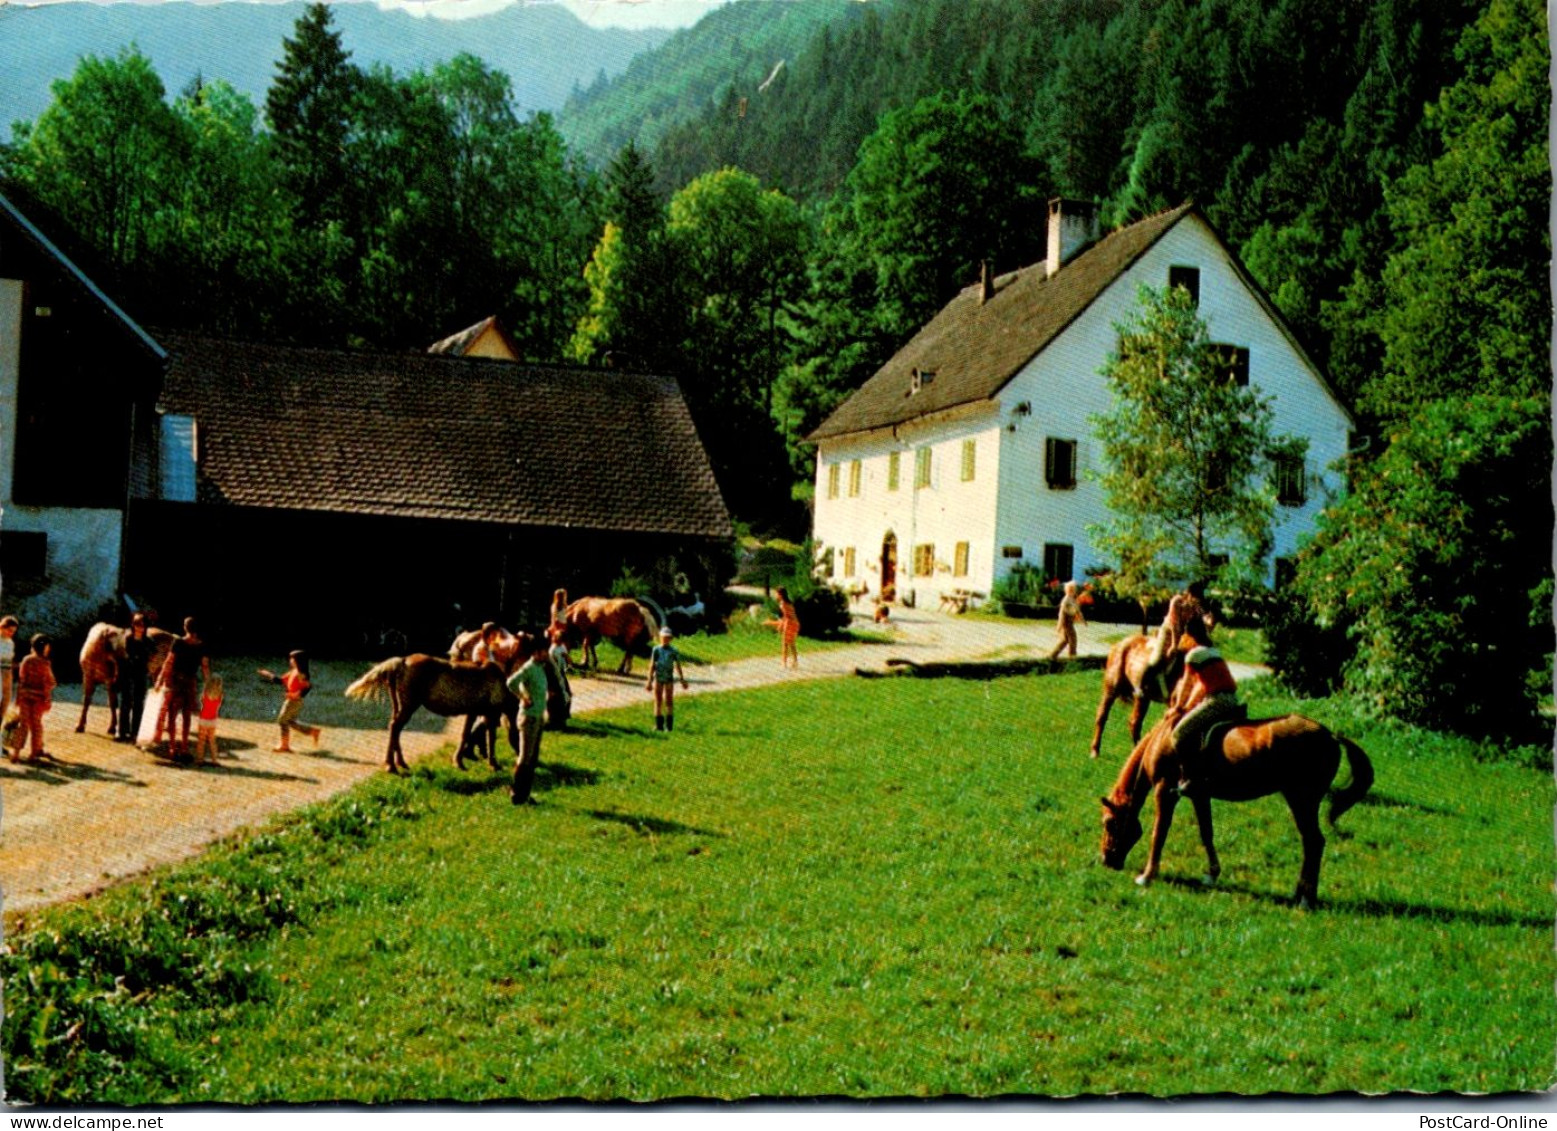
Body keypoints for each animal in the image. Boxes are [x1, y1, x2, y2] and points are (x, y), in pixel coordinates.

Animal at [344, 654, 520, 778]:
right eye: (520, 734)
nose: (520, 756)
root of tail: (402, 661)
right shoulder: (489, 713)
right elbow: (490, 737)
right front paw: (493, 764)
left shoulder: (474, 712)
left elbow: (466, 734)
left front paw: (459, 762)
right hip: (409, 705)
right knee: (395, 727)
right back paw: (391, 766)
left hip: (399, 705)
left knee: (395, 729)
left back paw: (400, 763)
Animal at [1102, 685, 1370, 909]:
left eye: (1109, 823)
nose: (1106, 859)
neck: (1161, 740)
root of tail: (1331, 736)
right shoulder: (1199, 795)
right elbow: (1206, 832)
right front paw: (1212, 873)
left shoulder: (1164, 791)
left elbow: (1159, 833)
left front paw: (1147, 875)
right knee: (1311, 843)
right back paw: (1301, 894)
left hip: (1302, 800)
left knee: (1314, 842)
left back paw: (1306, 899)